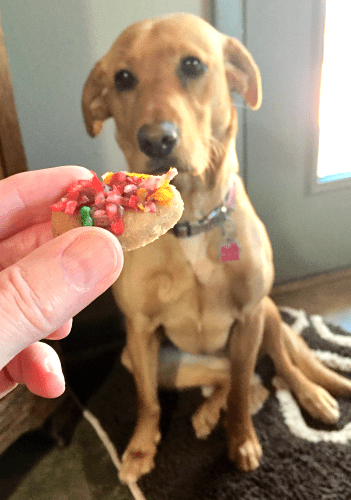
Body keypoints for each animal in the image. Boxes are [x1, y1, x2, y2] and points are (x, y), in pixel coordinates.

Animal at [81, 13, 351, 484]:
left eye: (192, 65)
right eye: (123, 78)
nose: (155, 140)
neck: (192, 220)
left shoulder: (249, 317)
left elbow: (244, 392)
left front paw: (241, 440)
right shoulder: (140, 329)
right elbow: (148, 402)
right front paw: (141, 447)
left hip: (269, 317)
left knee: (277, 369)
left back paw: (312, 396)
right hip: (151, 359)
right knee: (238, 379)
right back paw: (208, 411)